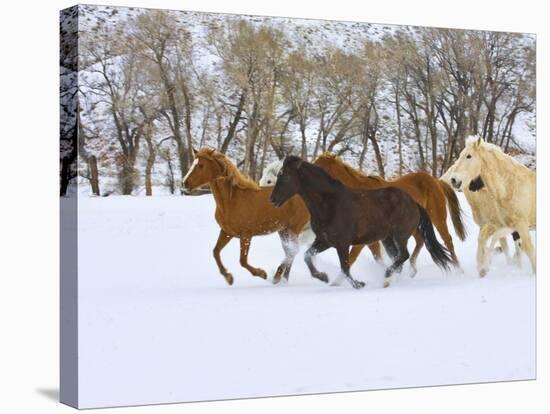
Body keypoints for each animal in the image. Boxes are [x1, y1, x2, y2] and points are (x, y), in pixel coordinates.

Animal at [184, 147, 310, 286]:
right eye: (193, 164)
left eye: (201, 165)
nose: (184, 183)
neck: (232, 200)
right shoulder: (226, 232)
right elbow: (215, 252)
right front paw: (228, 277)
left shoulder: (246, 235)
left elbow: (242, 261)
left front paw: (262, 273)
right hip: (283, 230)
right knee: (290, 252)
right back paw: (282, 279)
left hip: (293, 228)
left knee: (293, 251)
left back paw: (278, 277)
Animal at [272, 155, 452, 288]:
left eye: (284, 176)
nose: (272, 199)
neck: (330, 203)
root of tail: (414, 203)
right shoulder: (325, 241)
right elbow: (308, 255)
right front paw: (323, 277)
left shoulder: (342, 243)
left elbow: (345, 266)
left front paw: (358, 284)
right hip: (388, 239)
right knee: (399, 258)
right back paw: (388, 279)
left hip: (400, 235)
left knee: (404, 255)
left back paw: (387, 274)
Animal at [314, 152, 466, 272]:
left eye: (318, 166)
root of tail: (436, 181)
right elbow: (376, 256)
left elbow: (351, 258)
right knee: (420, 240)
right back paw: (412, 270)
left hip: (437, 217)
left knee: (447, 240)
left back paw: (458, 269)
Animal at [444, 137, 540, 278]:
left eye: (468, 156)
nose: (454, 180)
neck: (509, 188)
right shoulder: (503, 225)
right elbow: (486, 240)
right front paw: (482, 268)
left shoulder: (520, 225)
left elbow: (527, 247)